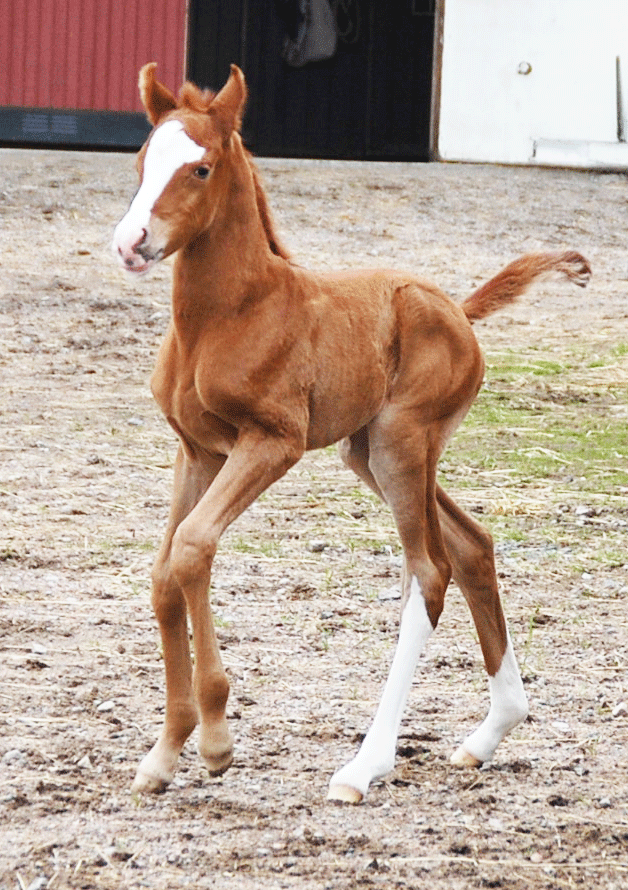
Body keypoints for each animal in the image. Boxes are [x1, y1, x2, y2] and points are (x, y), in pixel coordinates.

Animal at [111, 62, 588, 796]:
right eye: (141, 161)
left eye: (201, 168)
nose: (132, 244)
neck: (229, 316)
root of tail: (458, 309)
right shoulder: (197, 452)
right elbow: (167, 571)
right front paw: (165, 753)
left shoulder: (270, 442)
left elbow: (191, 547)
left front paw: (216, 740)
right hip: (369, 453)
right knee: (473, 545)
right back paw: (489, 734)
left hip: (401, 444)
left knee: (430, 570)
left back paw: (365, 765)